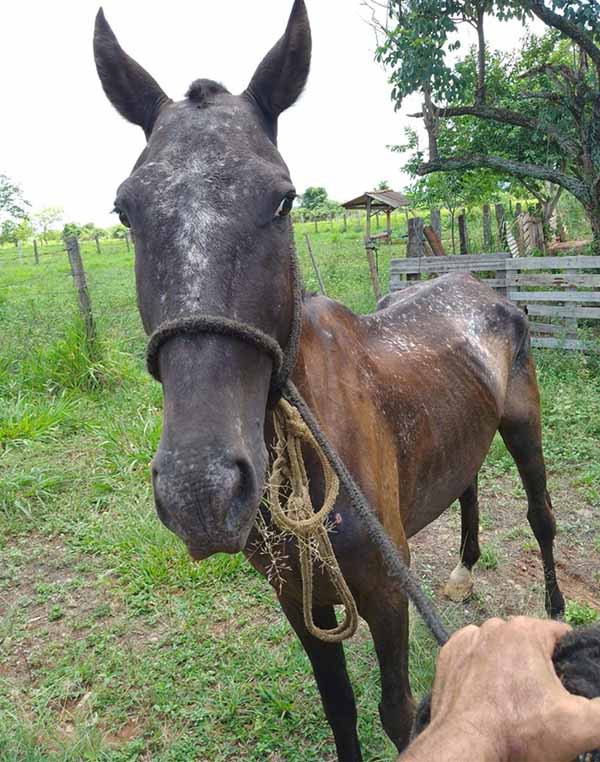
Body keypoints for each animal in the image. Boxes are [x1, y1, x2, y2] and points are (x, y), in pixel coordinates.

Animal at [91, 2, 564, 756]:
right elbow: (339, 707)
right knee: (466, 484)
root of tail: (482, 289)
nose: (200, 491)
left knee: (542, 518)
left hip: (524, 425)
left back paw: (554, 610)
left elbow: (398, 713)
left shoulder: (386, 593)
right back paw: (465, 568)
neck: (313, 448)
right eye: (124, 210)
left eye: (284, 199)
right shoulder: (300, 596)